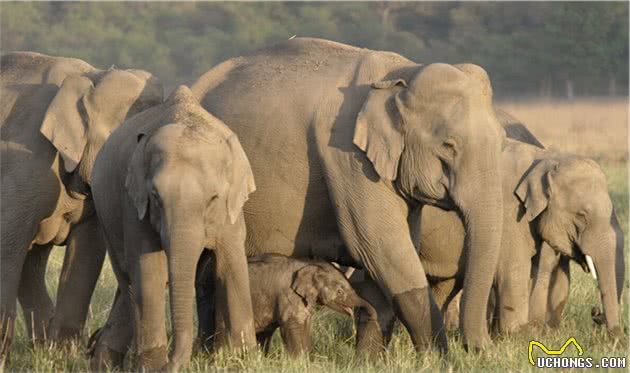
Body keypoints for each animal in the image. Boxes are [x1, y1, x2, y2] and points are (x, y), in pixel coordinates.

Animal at [0, 50, 163, 356]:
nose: (93, 341)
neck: (89, 78)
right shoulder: (22, 163)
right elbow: (8, 244)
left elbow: (87, 249)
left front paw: (61, 355)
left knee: (33, 263)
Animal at [88, 85, 256, 370]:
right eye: (155, 197)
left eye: (213, 198)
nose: (173, 364)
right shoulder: (133, 205)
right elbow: (149, 269)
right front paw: (152, 367)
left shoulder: (231, 212)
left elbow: (231, 265)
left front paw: (243, 360)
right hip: (104, 213)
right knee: (128, 279)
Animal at [198, 253, 378, 354]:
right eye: (340, 291)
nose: (373, 317)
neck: (308, 264)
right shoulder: (288, 296)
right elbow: (293, 327)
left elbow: (305, 326)